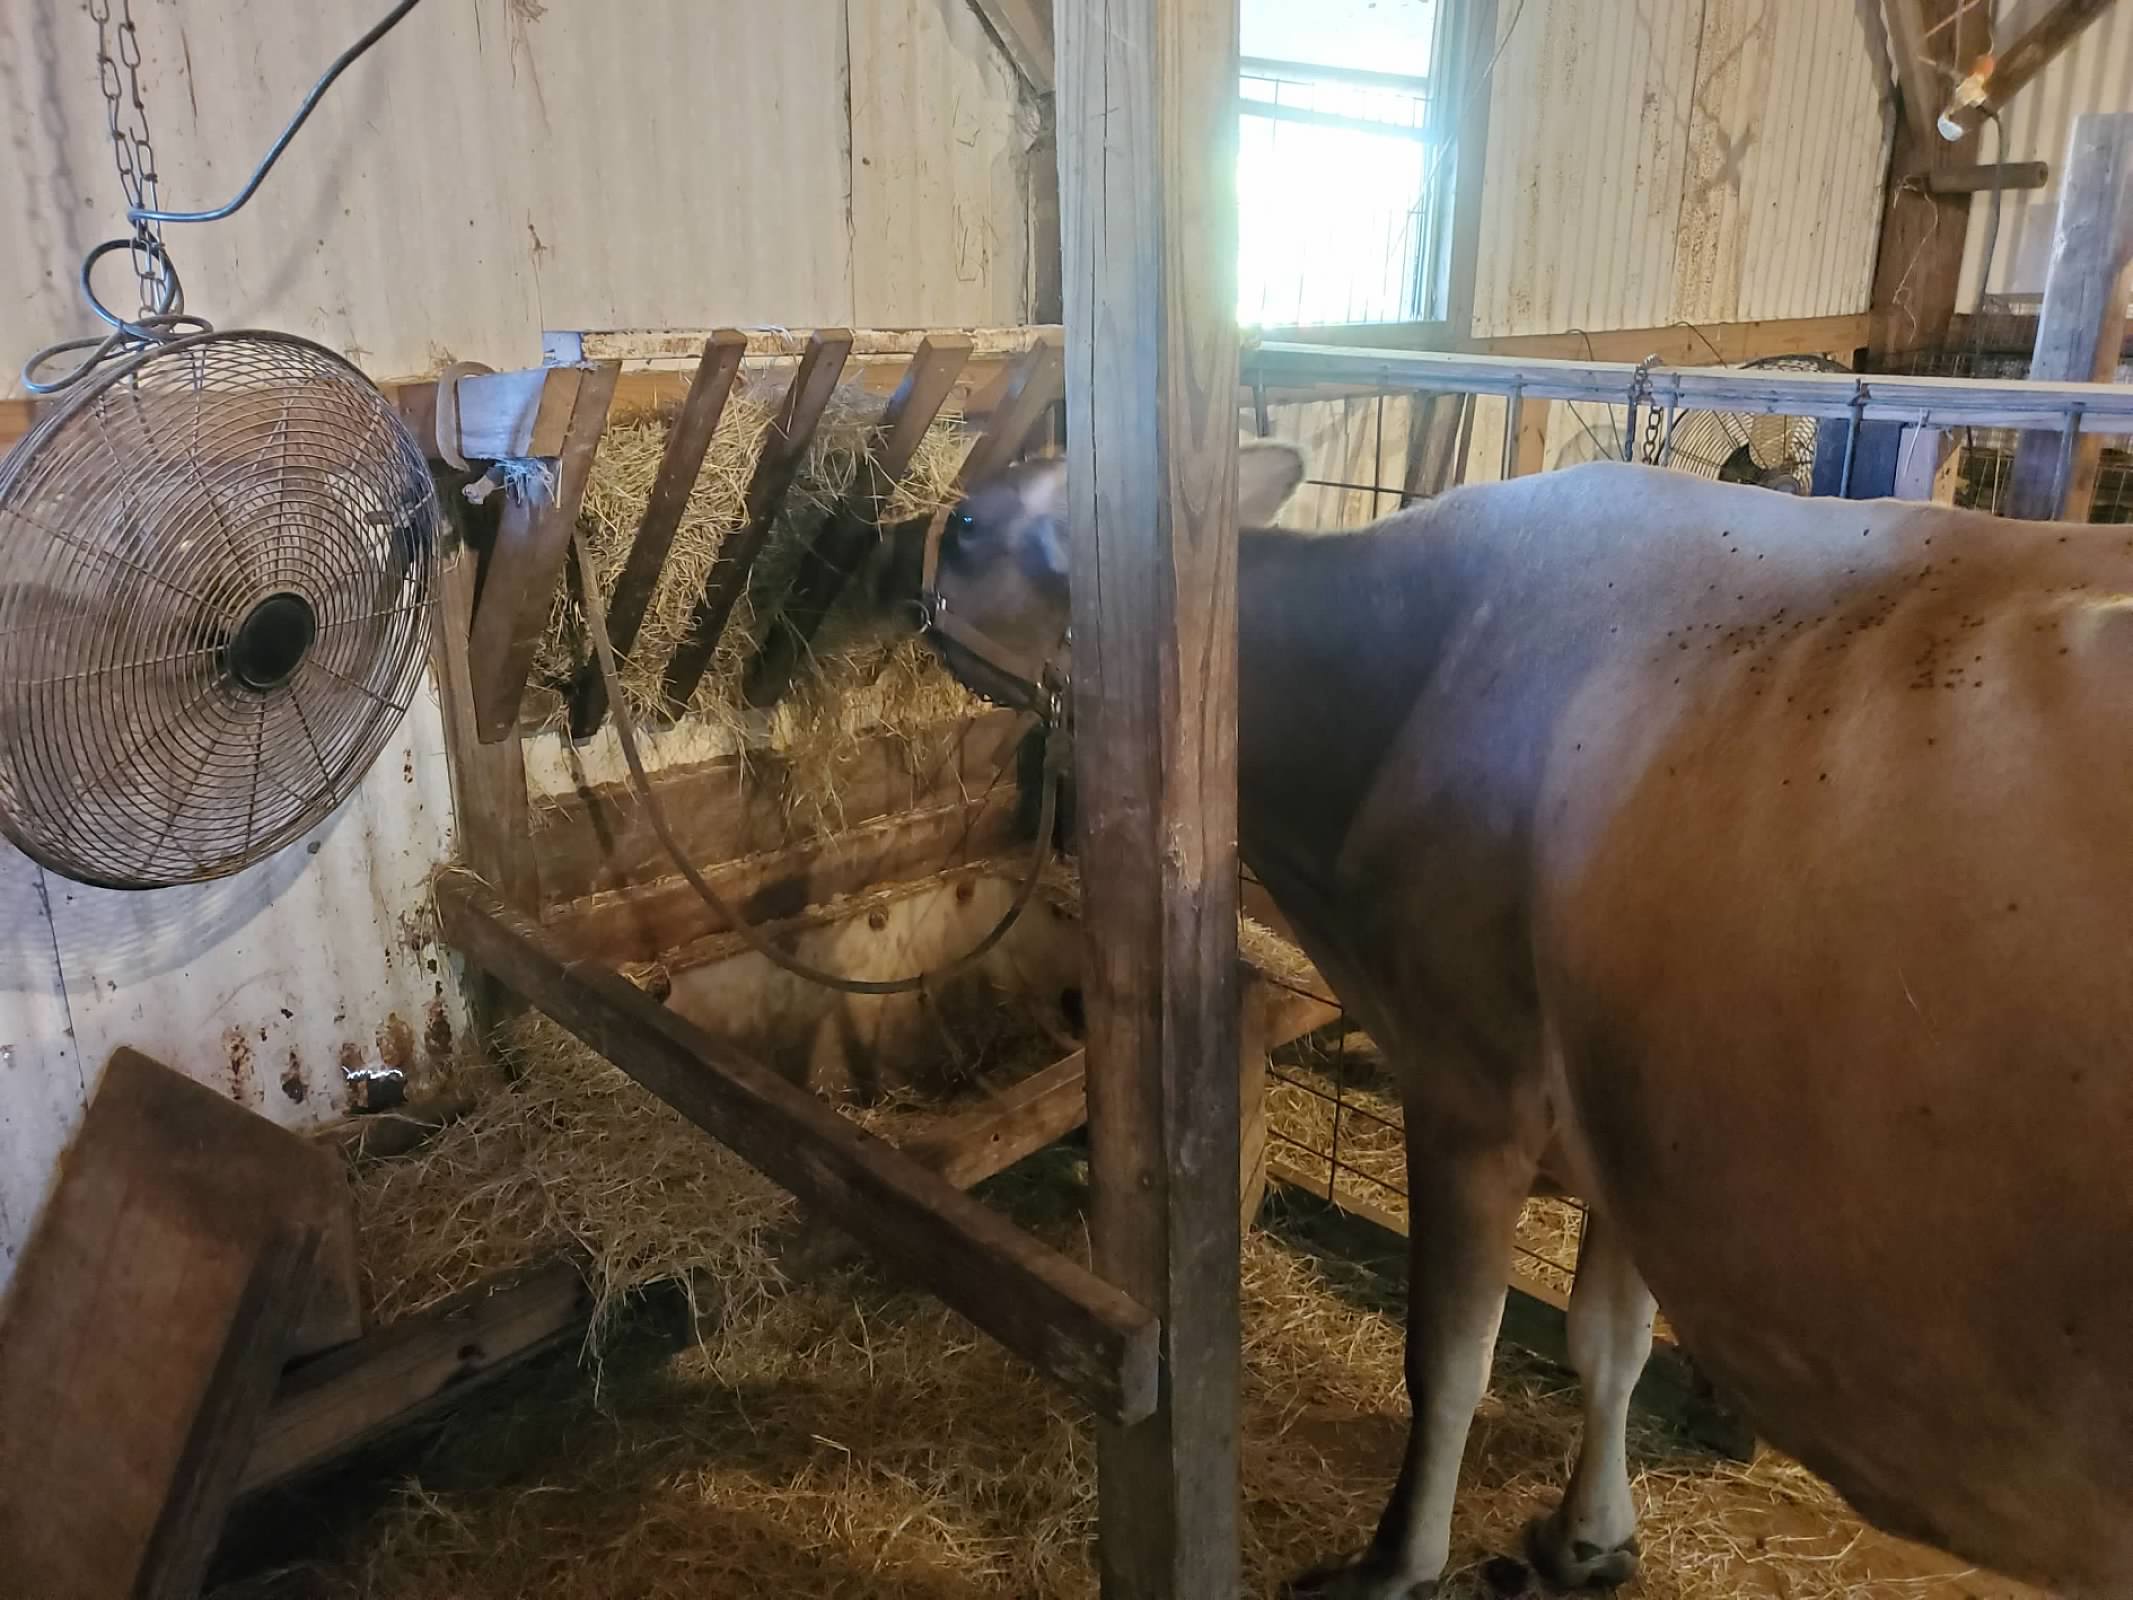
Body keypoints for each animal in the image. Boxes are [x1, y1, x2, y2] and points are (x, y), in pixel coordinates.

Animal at [884, 442, 2133, 1599]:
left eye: (974, 527)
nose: (904, 575)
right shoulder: (1631, 1127)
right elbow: (1608, 1343)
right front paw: (1594, 1533)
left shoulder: (1469, 1084)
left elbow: (1449, 1356)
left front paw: (1396, 1560)